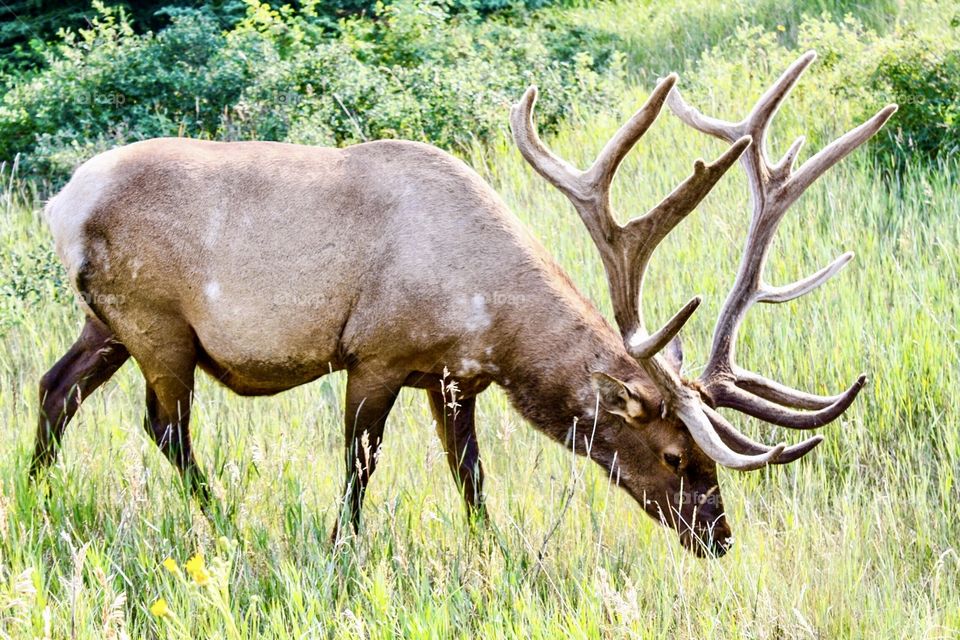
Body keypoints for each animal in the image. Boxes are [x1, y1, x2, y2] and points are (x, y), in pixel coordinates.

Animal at [32, 50, 895, 557]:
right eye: (679, 457)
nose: (719, 538)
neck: (494, 324)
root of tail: (62, 205)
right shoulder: (376, 353)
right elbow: (360, 466)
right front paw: (342, 549)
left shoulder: (453, 380)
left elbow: (471, 479)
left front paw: (495, 553)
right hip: (157, 321)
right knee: (164, 425)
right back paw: (226, 521)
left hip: (105, 321)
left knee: (55, 388)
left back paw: (36, 491)